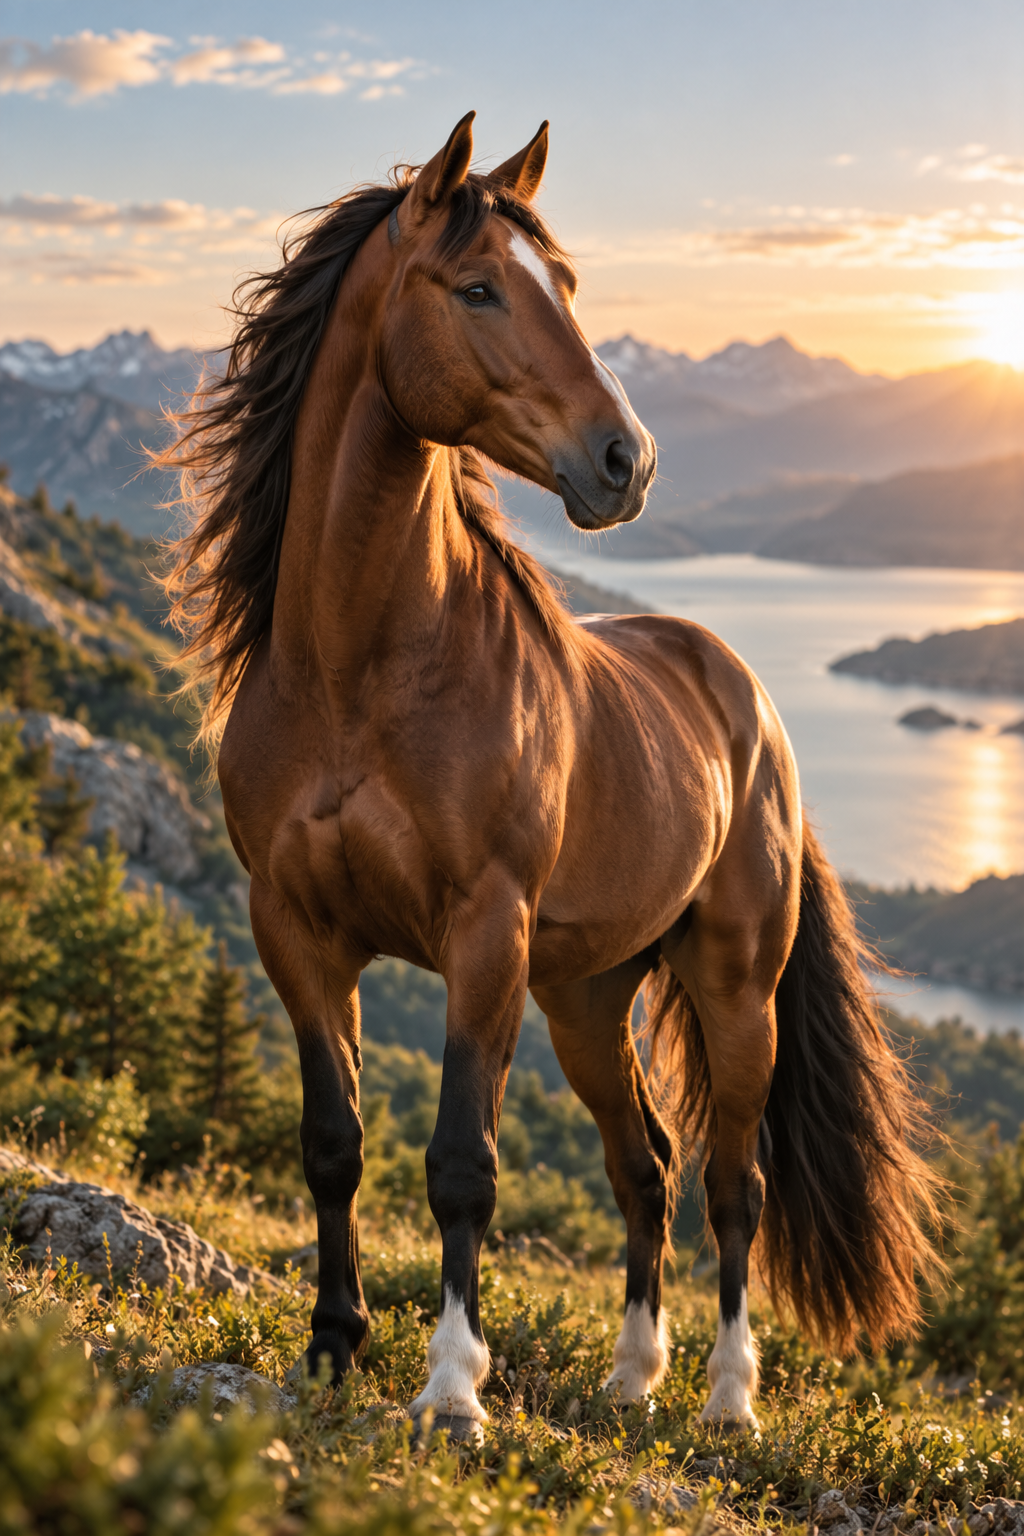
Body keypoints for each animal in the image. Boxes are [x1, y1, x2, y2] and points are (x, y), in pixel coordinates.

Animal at [160, 112, 942, 1439]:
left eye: (564, 284)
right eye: (478, 287)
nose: (627, 460)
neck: (364, 669)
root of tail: (748, 700)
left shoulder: (484, 937)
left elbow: (461, 1166)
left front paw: (451, 1391)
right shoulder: (296, 931)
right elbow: (333, 1143)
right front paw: (333, 1348)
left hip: (733, 988)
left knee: (735, 1181)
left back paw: (727, 1399)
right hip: (585, 997)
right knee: (647, 1166)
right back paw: (633, 1377)